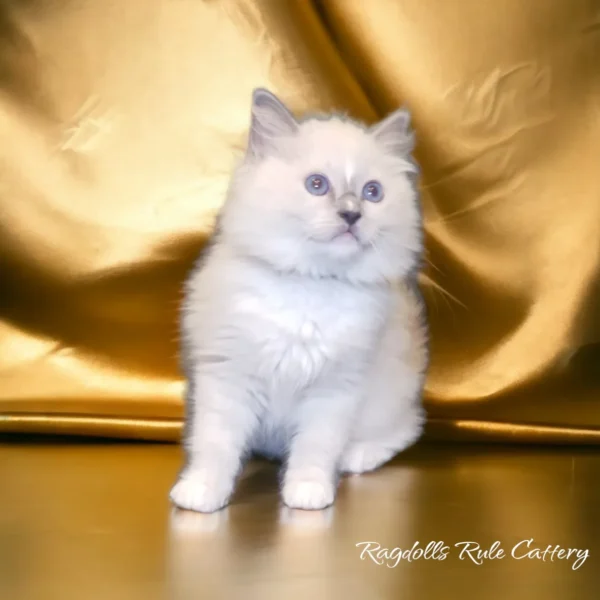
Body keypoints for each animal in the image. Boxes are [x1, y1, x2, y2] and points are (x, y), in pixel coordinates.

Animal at [171, 88, 428, 510]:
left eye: (372, 193)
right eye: (317, 185)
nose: (352, 214)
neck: (310, 285)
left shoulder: (336, 389)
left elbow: (315, 449)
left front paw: (307, 492)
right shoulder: (227, 377)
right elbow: (215, 444)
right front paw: (202, 492)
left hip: (390, 396)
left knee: (405, 429)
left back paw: (357, 456)